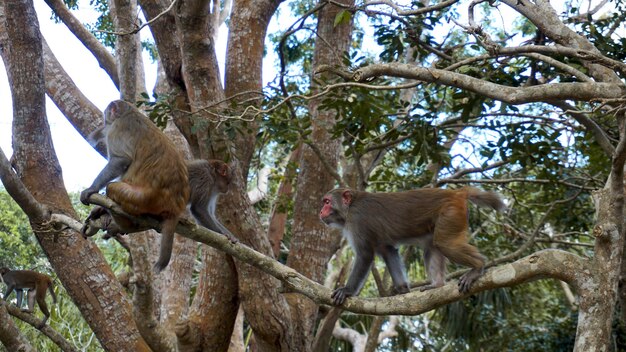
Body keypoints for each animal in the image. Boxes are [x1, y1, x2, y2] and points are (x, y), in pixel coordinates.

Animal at [79, 99, 189, 272]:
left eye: (109, 110)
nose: (107, 113)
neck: (129, 112)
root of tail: (175, 207)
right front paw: (99, 210)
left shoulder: (116, 129)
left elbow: (121, 160)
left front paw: (92, 189)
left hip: (142, 199)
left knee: (112, 188)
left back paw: (123, 225)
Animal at [320, 187, 504, 306]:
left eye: (327, 202)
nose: (320, 211)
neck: (351, 206)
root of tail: (457, 192)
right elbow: (387, 250)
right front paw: (402, 289)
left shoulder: (358, 220)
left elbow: (365, 255)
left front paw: (347, 290)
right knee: (432, 247)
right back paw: (437, 284)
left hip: (450, 213)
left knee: (444, 244)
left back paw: (477, 267)